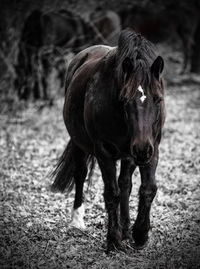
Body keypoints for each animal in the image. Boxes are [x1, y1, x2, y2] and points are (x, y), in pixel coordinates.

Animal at [51, 29, 166, 251]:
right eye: (125, 100)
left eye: (158, 99)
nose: (141, 149)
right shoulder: (104, 152)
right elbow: (111, 193)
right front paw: (113, 240)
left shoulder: (152, 148)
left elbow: (147, 188)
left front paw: (139, 234)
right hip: (80, 143)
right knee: (81, 174)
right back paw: (77, 220)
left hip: (130, 154)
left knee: (125, 184)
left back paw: (126, 227)